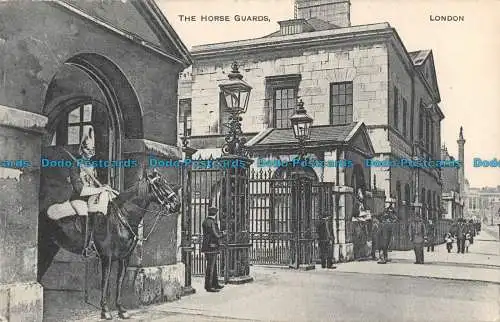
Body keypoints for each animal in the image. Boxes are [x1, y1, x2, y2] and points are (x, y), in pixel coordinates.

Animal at [37, 171, 182, 320]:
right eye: (158, 183)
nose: (177, 204)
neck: (122, 218)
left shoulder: (125, 258)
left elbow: (119, 281)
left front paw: (121, 309)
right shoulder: (107, 258)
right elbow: (105, 282)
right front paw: (105, 310)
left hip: (50, 250)